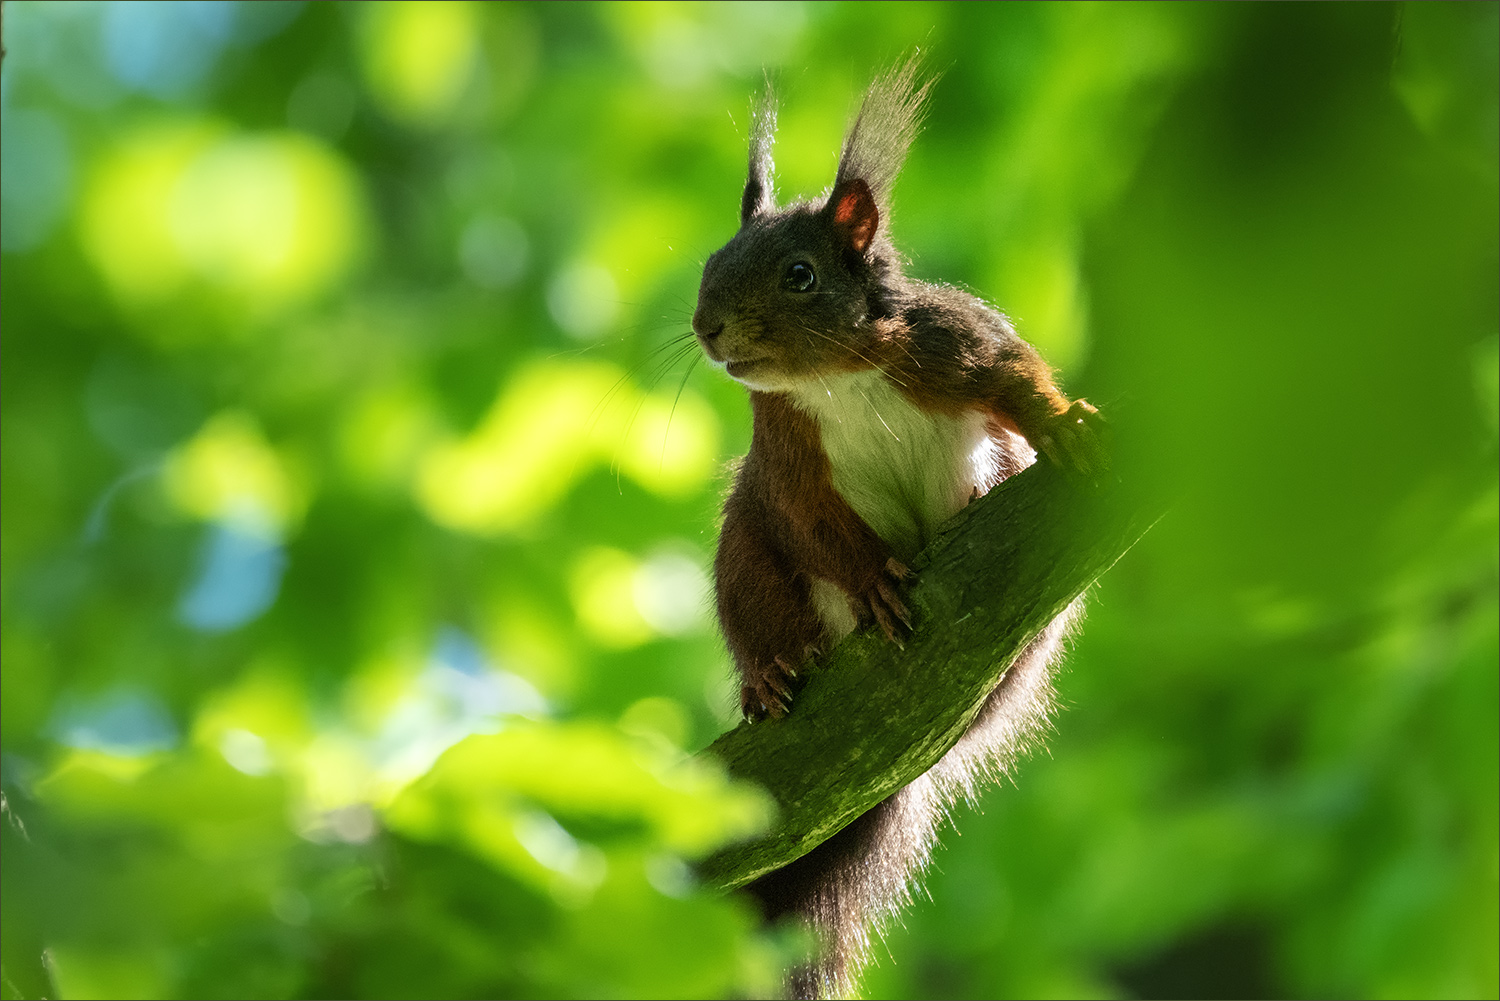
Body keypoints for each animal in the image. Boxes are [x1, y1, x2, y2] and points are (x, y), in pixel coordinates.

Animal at [690, 58, 1104, 996]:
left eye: (799, 273)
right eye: (710, 265)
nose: (706, 327)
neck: (835, 377)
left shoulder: (956, 342)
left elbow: (1016, 378)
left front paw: (1061, 422)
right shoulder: (787, 459)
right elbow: (812, 525)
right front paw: (876, 579)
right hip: (745, 559)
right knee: (763, 595)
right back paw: (770, 672)